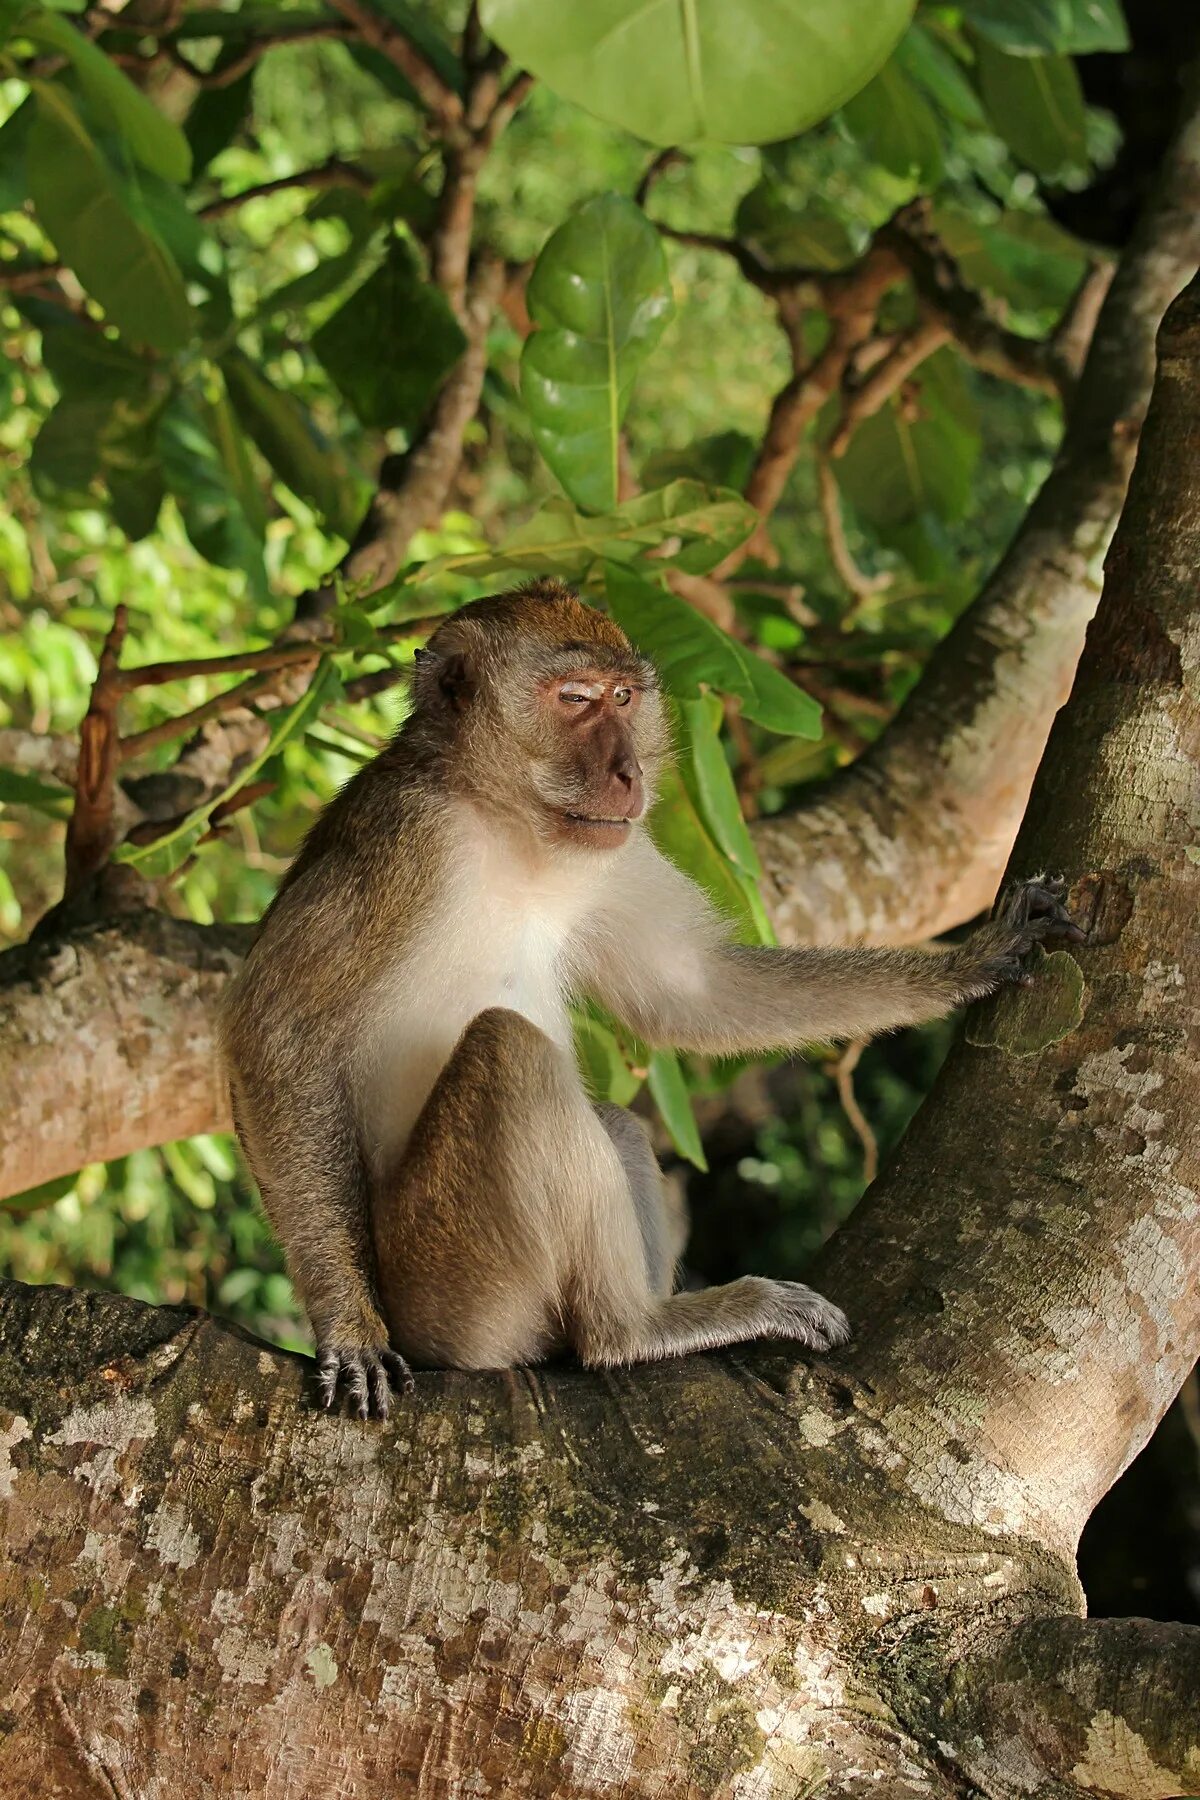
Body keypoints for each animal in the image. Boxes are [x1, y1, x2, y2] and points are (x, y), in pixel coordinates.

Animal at [220, 583, 1086, 1411]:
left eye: (625, 698)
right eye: (575, 699)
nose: (629, 773)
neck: (504, 823)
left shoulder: (614, 848)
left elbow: (692, 992)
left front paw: (974, 959)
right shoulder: (404, 839)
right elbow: (274, 1031)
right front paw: (347, 1328)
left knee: (609, 1121)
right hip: (450, 1284)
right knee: (510, 1051)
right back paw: (631, 1330)